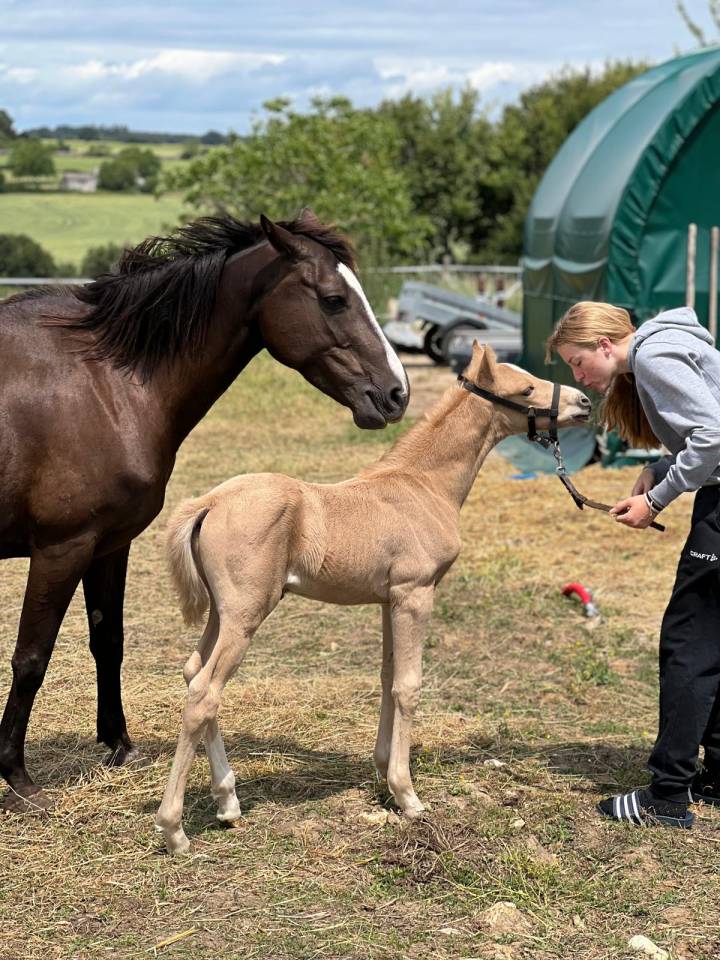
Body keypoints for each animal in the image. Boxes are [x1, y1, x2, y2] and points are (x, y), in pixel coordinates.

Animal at [0, 209, 409, 814]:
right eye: (334, 299)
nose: (396, 394)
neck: (105, 384)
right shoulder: (60, 548)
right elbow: (31, 656)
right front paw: (17, 776)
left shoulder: (108, 543)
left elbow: (108, 642)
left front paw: (119, 745)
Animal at [155, 343, 590, 854]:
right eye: (524, 389)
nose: (583, 403)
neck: (422, 484)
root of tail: (209, 502)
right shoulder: (415, 594)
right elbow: (408, 685)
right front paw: (407, 795)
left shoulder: (388, 600)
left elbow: (387, 677)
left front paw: (383, 772)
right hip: (245, 615)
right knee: (204, 693)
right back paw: (175, 829)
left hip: (222, 615)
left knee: (193, 672)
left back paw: (227, 801)